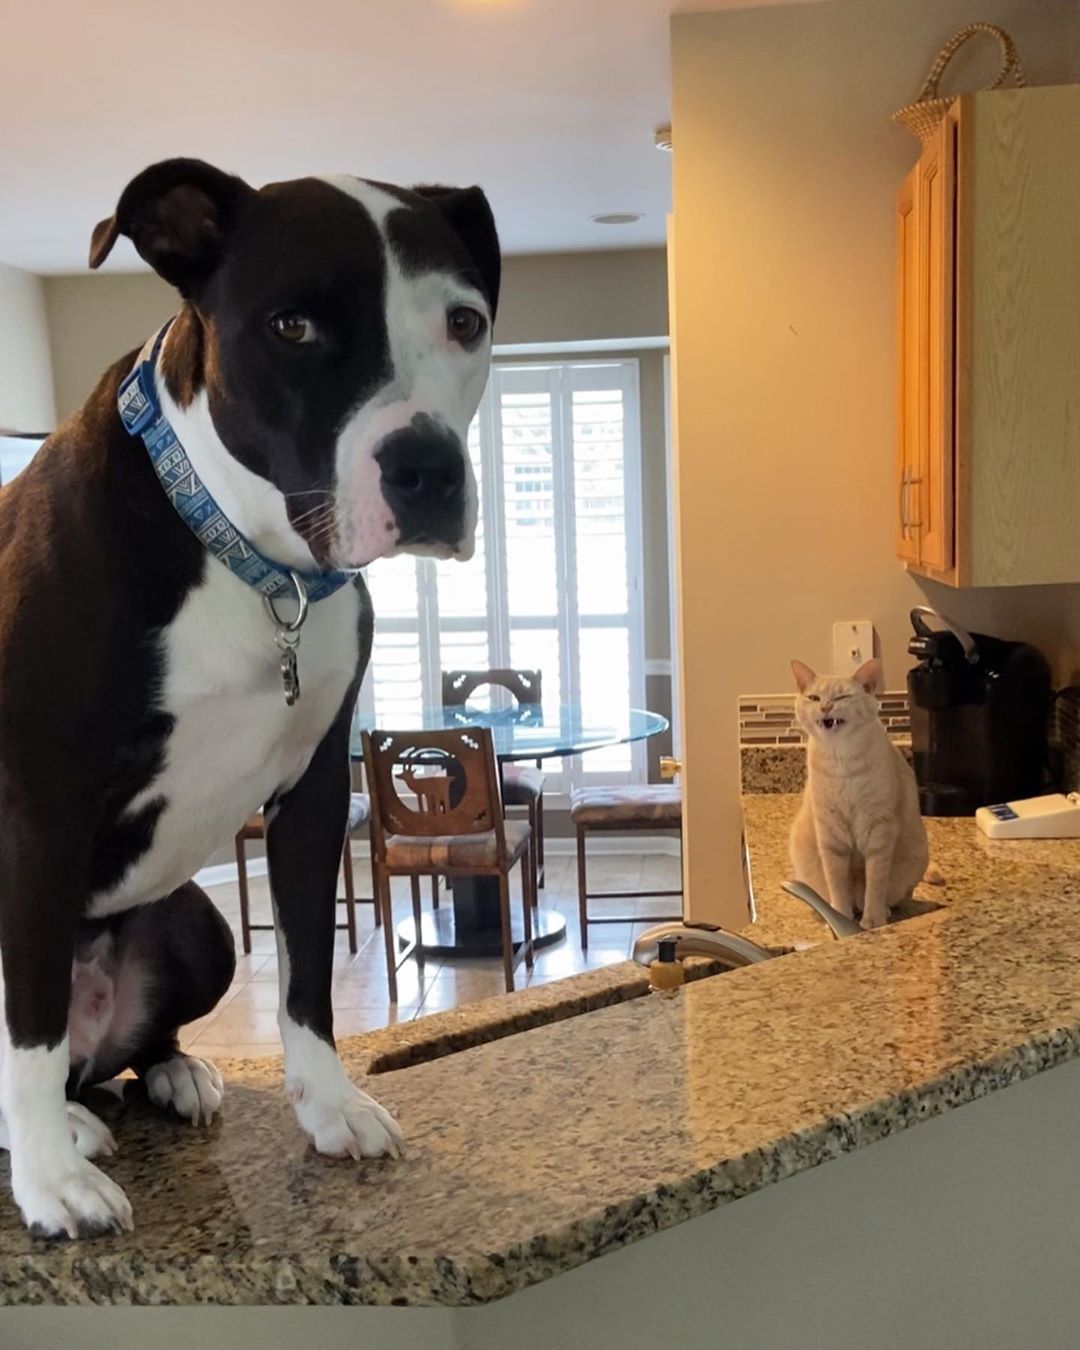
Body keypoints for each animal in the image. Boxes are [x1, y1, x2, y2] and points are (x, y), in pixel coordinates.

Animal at [0, 155, 496, 1236]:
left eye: (465, 321)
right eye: (293, 326)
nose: (428, 468)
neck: (245, 558)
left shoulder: (311, 797)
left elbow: (308, 976)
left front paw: (330, 1107)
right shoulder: (36, 814)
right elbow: (29, 1024)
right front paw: (49, 1181)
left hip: (199, 927)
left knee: (118, 1053)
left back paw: (166, 1077)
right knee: (51, 1048)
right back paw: (53, 1135)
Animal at [783, 658, 934, 934]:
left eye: (842, 696)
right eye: (814, 697)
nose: (825, 706)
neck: (841, 761)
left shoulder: (879, 832)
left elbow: (875, 884)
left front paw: (873, 920)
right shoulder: (831, 836)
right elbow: (837, 885)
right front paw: (840, 916)